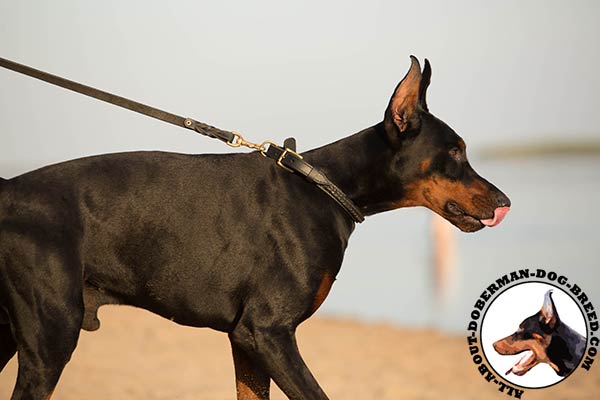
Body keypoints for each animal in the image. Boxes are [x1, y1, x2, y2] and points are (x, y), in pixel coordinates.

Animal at [0, 57, 508, 400]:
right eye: (455, 151)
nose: (505, 202)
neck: (326, 188)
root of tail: (7, 189)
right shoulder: (267, 332)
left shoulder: (244, 342)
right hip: (51, 334)